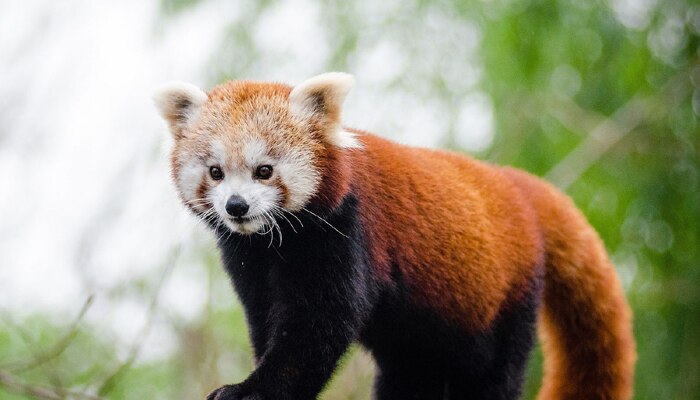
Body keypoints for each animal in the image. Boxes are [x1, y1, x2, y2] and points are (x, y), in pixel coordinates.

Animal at [153, 72, 636, 400]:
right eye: (216, 172)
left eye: (264, 170)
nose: (237, 207)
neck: (280, 243)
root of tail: (517, 186)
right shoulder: (250, 259)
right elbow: (266, 319)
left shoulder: (347, 233)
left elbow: (317, 327)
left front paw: (254, 389)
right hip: (419, 334)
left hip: (504, 298)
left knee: (492, 374)